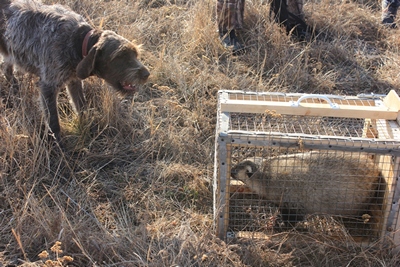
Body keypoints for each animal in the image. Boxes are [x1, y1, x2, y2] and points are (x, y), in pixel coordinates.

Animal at [0, 0, 150, 144]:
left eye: (135, 54)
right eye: (119, 56)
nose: (146, 74)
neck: (77, 39)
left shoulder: (74, 80)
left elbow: (81, 107)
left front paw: (89, 126)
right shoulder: (48, 86)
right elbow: (53, 121)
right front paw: (58, 144)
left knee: (6, 69)